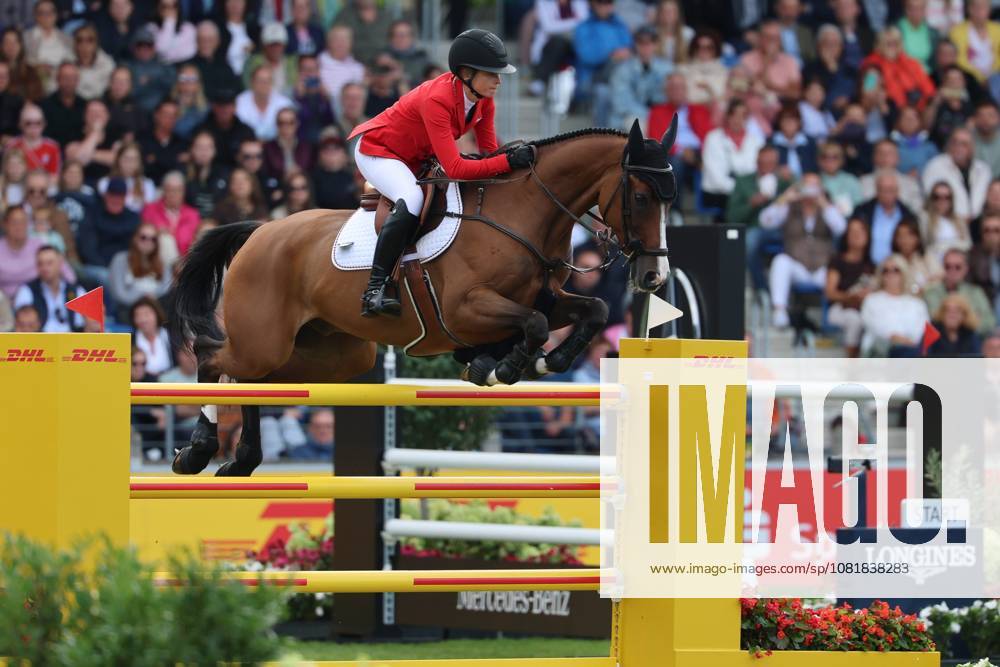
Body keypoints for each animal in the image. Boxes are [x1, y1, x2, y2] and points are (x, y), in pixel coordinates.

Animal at [170, 118, 679, 476]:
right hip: (265, 339)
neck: (524, 213)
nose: (654, 276)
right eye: (640, 195)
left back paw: (240, 459)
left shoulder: (549, 299)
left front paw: (536, 361)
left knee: (250, 379)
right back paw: (197, 451)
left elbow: (594, 309)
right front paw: (505, 366)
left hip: (333, 356)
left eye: (670, 199)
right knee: (213, 358)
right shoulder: (465, 309)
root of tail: (260, 231)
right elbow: (532, 325)